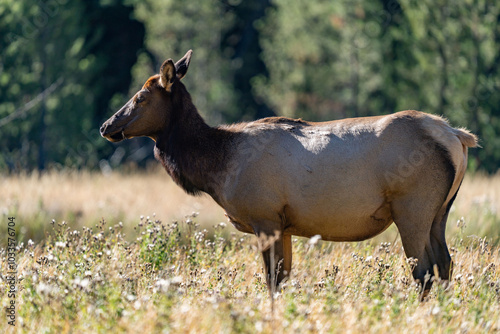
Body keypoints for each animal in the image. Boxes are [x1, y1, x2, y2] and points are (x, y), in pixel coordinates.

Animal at [100, 49, 476, 294]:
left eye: (140, 97)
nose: (106, 126)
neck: (217, 166)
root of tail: (457, 136)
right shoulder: (284, 224)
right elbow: (283, 278)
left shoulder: (264, 216)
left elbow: (272, 281)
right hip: (440, 211)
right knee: (445, 265)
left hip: (411, 207)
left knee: (424, 272)